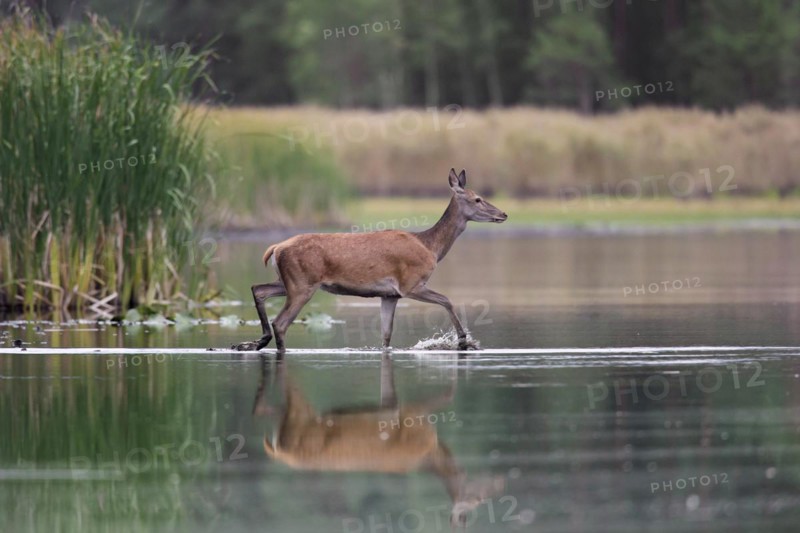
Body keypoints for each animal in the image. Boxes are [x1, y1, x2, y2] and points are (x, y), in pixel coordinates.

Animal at [234, 168, 507, 352]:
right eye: (477, 199)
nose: (503, 214)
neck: (431, 248)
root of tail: (275, 248)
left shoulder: (389, 295)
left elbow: (386, 336)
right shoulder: (410, 284)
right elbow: (447, 300)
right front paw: (464, 341)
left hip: (288, 282)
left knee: (258, 289)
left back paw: (255, 342)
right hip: (302, 284)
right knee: (281, 322)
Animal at [252, 354, 505, 528]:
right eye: (478, 499)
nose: (497, 485)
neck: (431, 453)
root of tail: (279, 452)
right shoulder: (415, 416)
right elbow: (446, 397)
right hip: (301, 418)